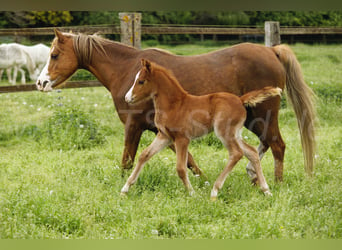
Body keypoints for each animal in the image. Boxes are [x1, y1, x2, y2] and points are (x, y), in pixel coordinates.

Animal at [121, 59, 280, 200]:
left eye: (141, 81)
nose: (127, 98)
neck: (174, 105)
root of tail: (240, 100)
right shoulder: (164, 136)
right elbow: (144, 155)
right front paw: (125, 189)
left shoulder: (182, 138)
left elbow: (181, 168)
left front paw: (192, 193)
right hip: (235, 133)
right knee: (251, 152)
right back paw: (266, 190)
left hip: (224, 132)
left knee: (236, 153)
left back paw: (215, 191)